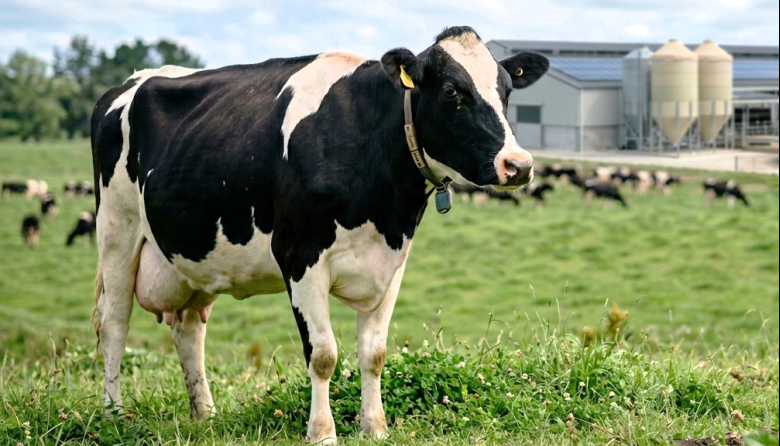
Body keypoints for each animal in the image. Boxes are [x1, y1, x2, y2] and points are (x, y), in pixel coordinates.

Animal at [90, 26, 548, 444]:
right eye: (453, 90)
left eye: (506, 90)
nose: (519, 165)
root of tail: (131, 81)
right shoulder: (300, 256)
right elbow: (323, 355)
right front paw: (323, 432)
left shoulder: (392, 262)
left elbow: (375, 353)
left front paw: (375, 427)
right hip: (116, 231)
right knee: (114, 323)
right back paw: (114, 414)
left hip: (195, 256)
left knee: (188, 330)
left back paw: (204, 413)